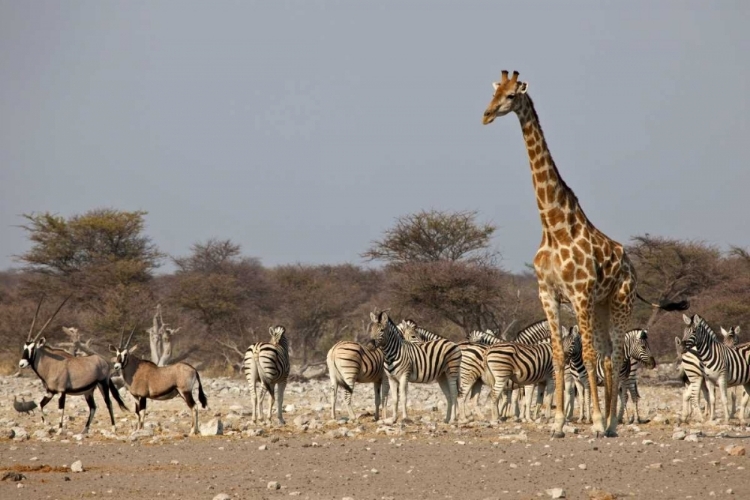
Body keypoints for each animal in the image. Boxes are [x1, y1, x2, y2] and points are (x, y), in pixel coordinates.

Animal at [18, 296, 129, 434]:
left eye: (32, 348)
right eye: (24, 347)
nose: (21, 364)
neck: (51, 364)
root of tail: (102, 360)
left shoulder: (61, 392)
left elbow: (60, 409)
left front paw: (59, 429)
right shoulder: (50, 392)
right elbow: (40, 405)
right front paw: (47, 424)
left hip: (103, 384)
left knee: (109, 403)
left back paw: (113, 427)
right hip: (88, 391)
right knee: (93, 407)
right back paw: (85, 430)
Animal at [484, 70, 692, 438]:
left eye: (511, 96)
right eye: (494, 92)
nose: (487, 114)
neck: (554, 225)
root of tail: (632, 268)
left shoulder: (579, 294)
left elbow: (591, 356)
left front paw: (593, 421)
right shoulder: (548, 293)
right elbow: (558, 355)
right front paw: (557, 424)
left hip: (619, 301)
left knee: (612, 354)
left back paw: (610, 424)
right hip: (601, 306)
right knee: (609, 355)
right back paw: (607, 421)